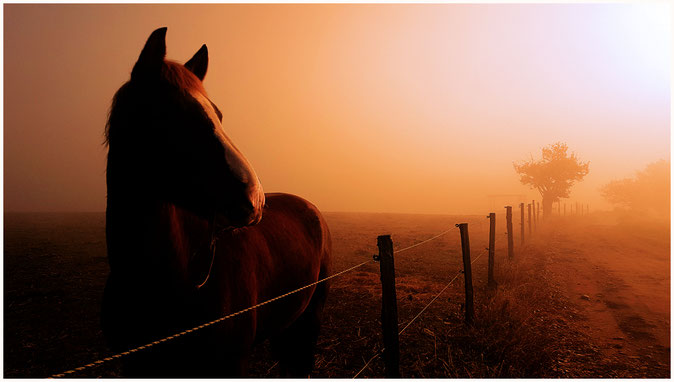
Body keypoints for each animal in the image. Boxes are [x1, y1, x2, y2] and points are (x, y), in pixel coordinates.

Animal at [100, 28, 330, 378]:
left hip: (309, 318)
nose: (255, 197)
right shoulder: (136, 364)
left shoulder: (229, 364)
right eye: (172, 113)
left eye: (218, 114)